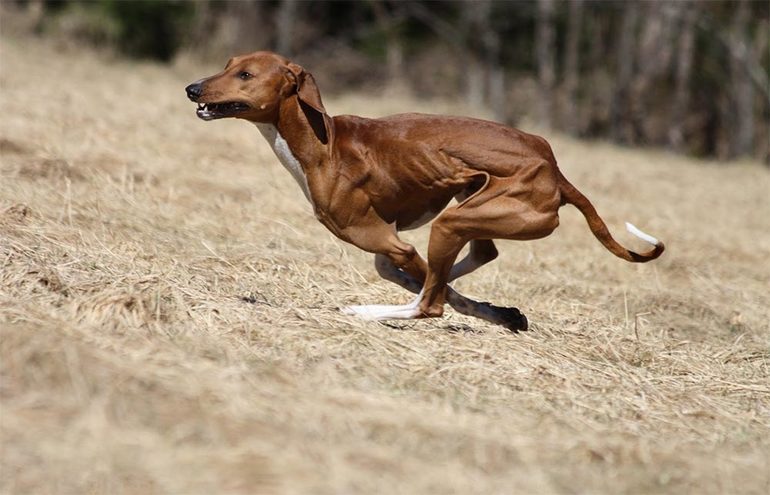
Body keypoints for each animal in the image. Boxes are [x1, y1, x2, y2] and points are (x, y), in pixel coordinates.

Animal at [184, 52, 660, 332]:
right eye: (228, 64)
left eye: (245, 74)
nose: (192, 88)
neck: (323, 143)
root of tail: (557, 173)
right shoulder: (389, 242)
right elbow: (415, 277)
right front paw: (501, 312)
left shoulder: (393, 242)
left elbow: (424, 284)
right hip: (469, 208)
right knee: (480, 257)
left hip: (452, 222)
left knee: (429, 304)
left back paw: (364, 311)